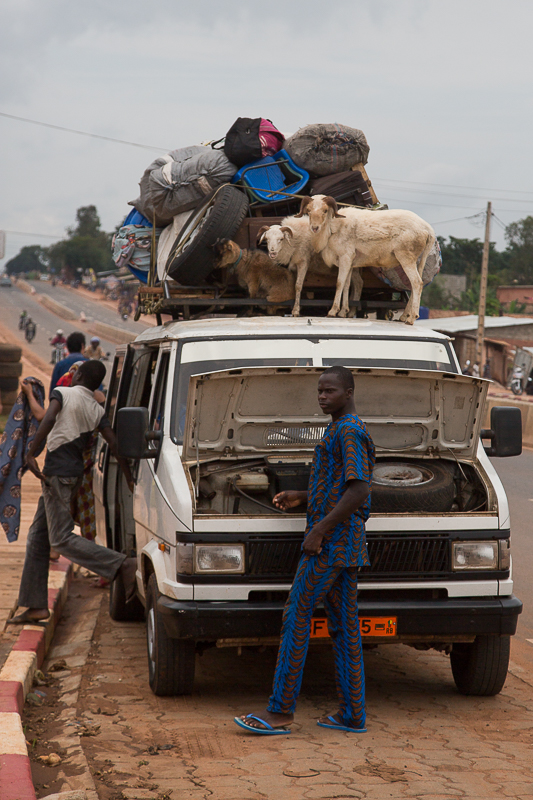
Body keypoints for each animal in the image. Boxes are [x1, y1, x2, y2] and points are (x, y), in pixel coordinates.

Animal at [296, 195, 436, 324]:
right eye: (308, 211)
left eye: (325, 210)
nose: (315, 228)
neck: (333, 228)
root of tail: (428, 229)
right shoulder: (350, 263)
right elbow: (347, 285)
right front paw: (343, 313)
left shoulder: (345, 258)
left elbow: (339, 283)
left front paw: (333, 312)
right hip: (417, 261)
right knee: (415, 284)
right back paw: (403, 316)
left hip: (406, 258)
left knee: (417, 283)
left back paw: (411, 318)